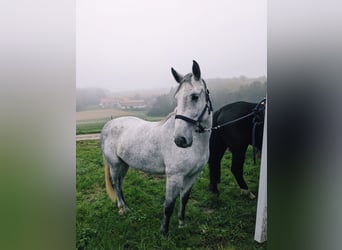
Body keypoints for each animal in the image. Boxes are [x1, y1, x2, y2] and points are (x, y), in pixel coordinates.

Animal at [100, 60, 212, 234]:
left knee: (119, 182)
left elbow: (184, 200)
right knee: (116, 184)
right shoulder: (174, 177)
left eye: (195, 96)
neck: (196, 146)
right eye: (176, 98)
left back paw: (124, 206)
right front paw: (164, 232)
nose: (180, 140)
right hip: (115, 164)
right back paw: (123, 208)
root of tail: (109, 124)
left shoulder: (192, 176)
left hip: (124, 164)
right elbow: (169, 205)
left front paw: (181, 223)